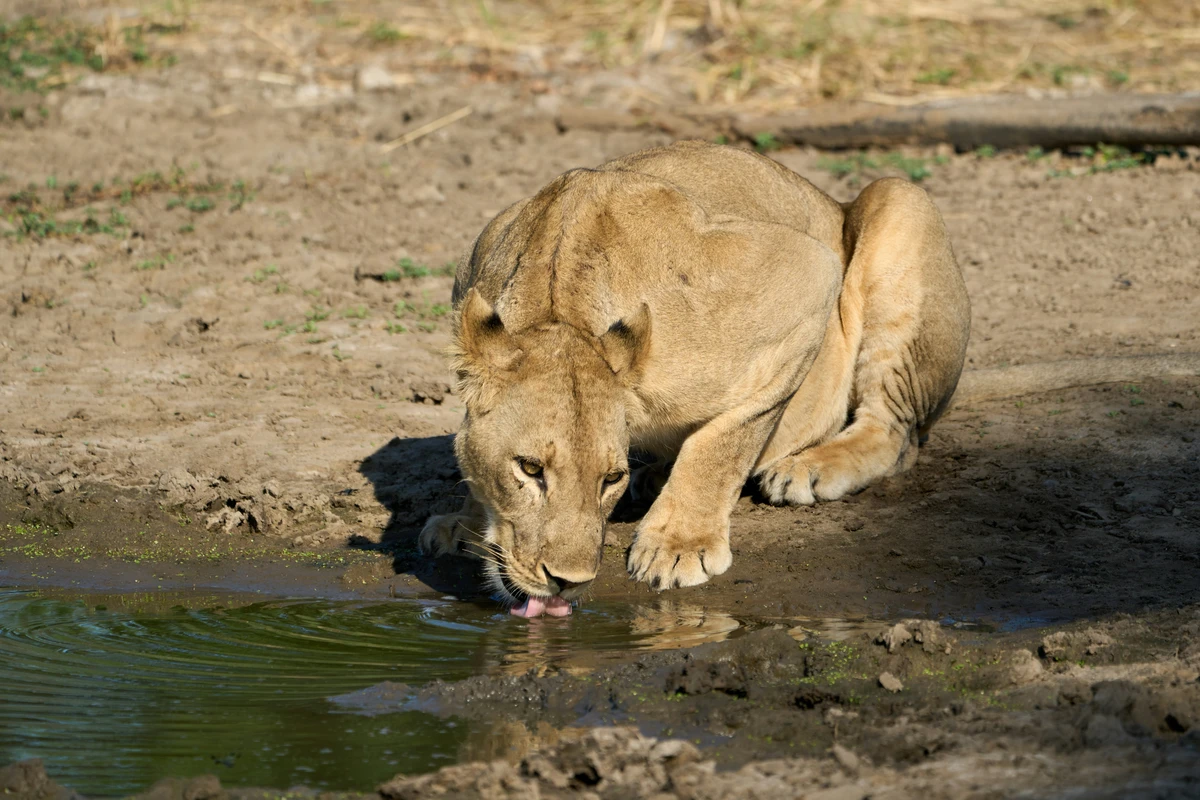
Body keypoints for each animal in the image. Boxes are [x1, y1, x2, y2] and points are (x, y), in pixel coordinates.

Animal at [419, 140, 1200, 616]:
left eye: (605, 477)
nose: (570, 582)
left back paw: (807, 468)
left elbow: (726, 438)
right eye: (530, 470)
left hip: (896, 204)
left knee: (896, 432)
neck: (562, 297)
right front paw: (459, 519)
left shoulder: (801, 275)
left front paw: (678, 544)